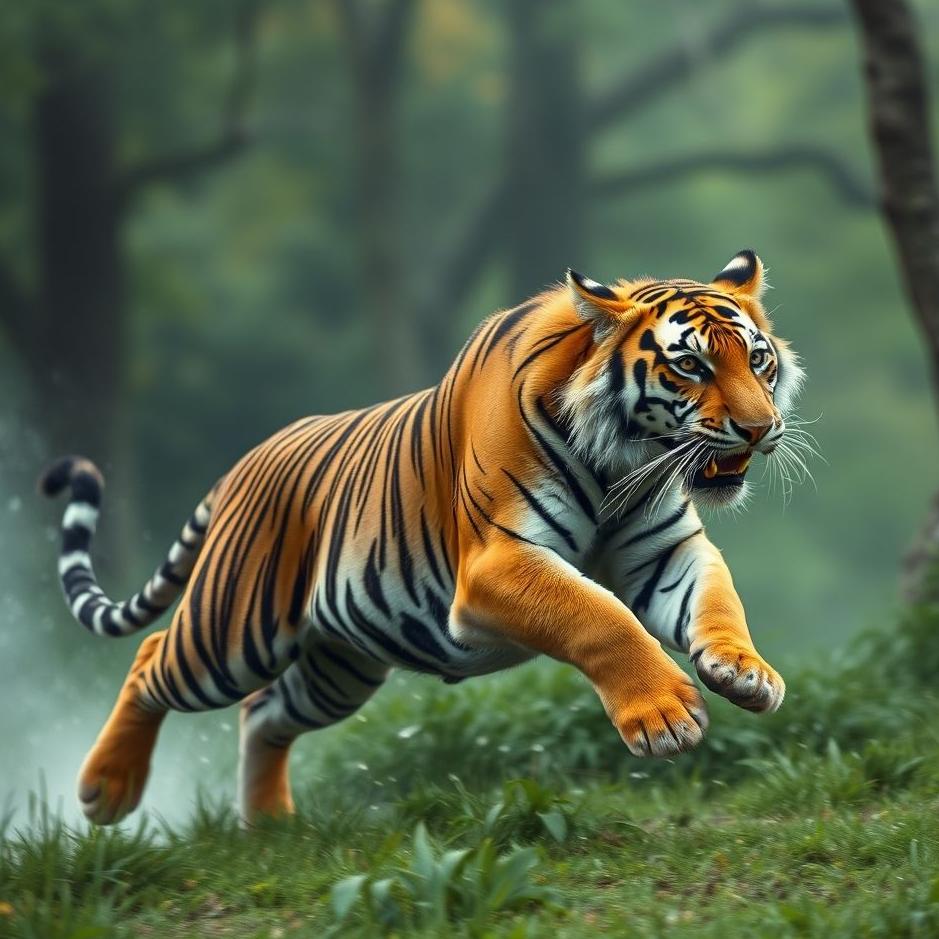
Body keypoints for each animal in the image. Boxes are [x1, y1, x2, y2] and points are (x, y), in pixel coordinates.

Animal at [40, 249, 804, 825]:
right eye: (690, 365)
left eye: (758, 361)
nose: (760, 428)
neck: (623, 459)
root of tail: (244, 464)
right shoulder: (496, 563)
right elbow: (599, 616)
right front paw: (665, 717)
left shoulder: (664, 550)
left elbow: (715, 599)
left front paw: (743, 671)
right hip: (233, 633)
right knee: (151, 658)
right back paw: (106, 789)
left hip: (337, 666)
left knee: (263, 714)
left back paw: (269, 826)